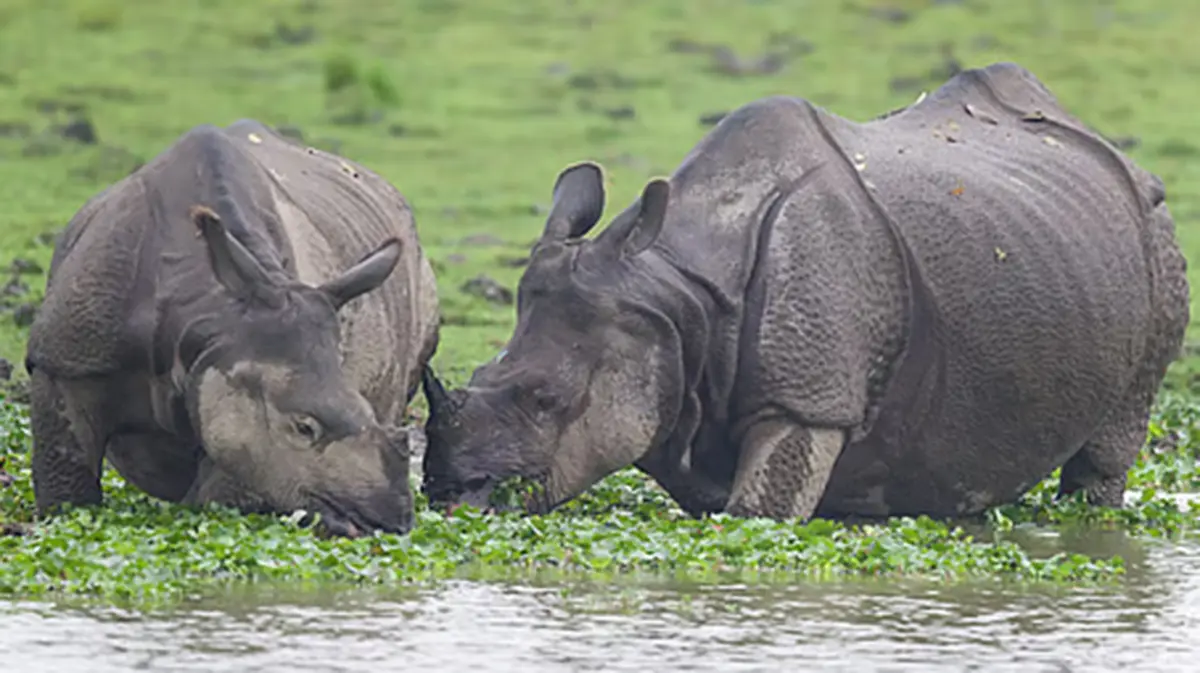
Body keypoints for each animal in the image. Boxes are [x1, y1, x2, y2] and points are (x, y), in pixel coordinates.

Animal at [25, 120, 440, 536]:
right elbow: (67, 485)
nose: (390, 521)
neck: (207, 311)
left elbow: (219, 495)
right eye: (303, 428)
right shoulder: (62, 363)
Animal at [420, 62, 1189, 522]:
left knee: (1116, 430)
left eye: (546, 400)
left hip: (1157, 234)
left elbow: (759, 516)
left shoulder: (809, 402)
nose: (451, 496)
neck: (673, 297)